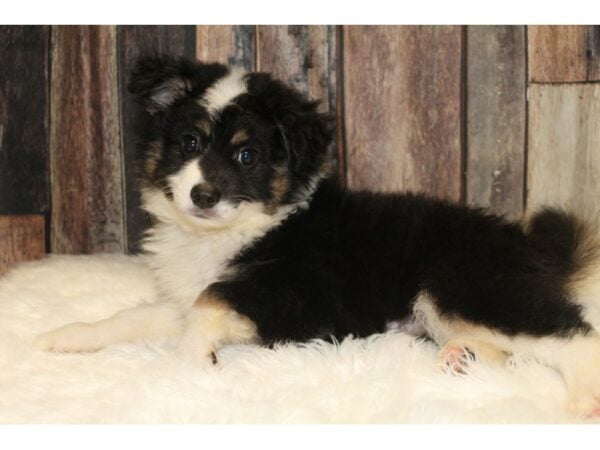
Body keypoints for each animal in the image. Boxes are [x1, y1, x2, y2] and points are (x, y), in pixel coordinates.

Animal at [35, 56, 600, 418]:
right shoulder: (188, 293)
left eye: (247, 155)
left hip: (463, 282)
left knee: (569, 334)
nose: (202, 194)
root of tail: (524, 243)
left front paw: (195, 362)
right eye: (190, 142)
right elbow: (143, 314)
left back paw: (580, 403)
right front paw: (65, 337)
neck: (251, 226)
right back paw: (462, 359)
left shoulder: (299, 299)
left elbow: (207, 304)